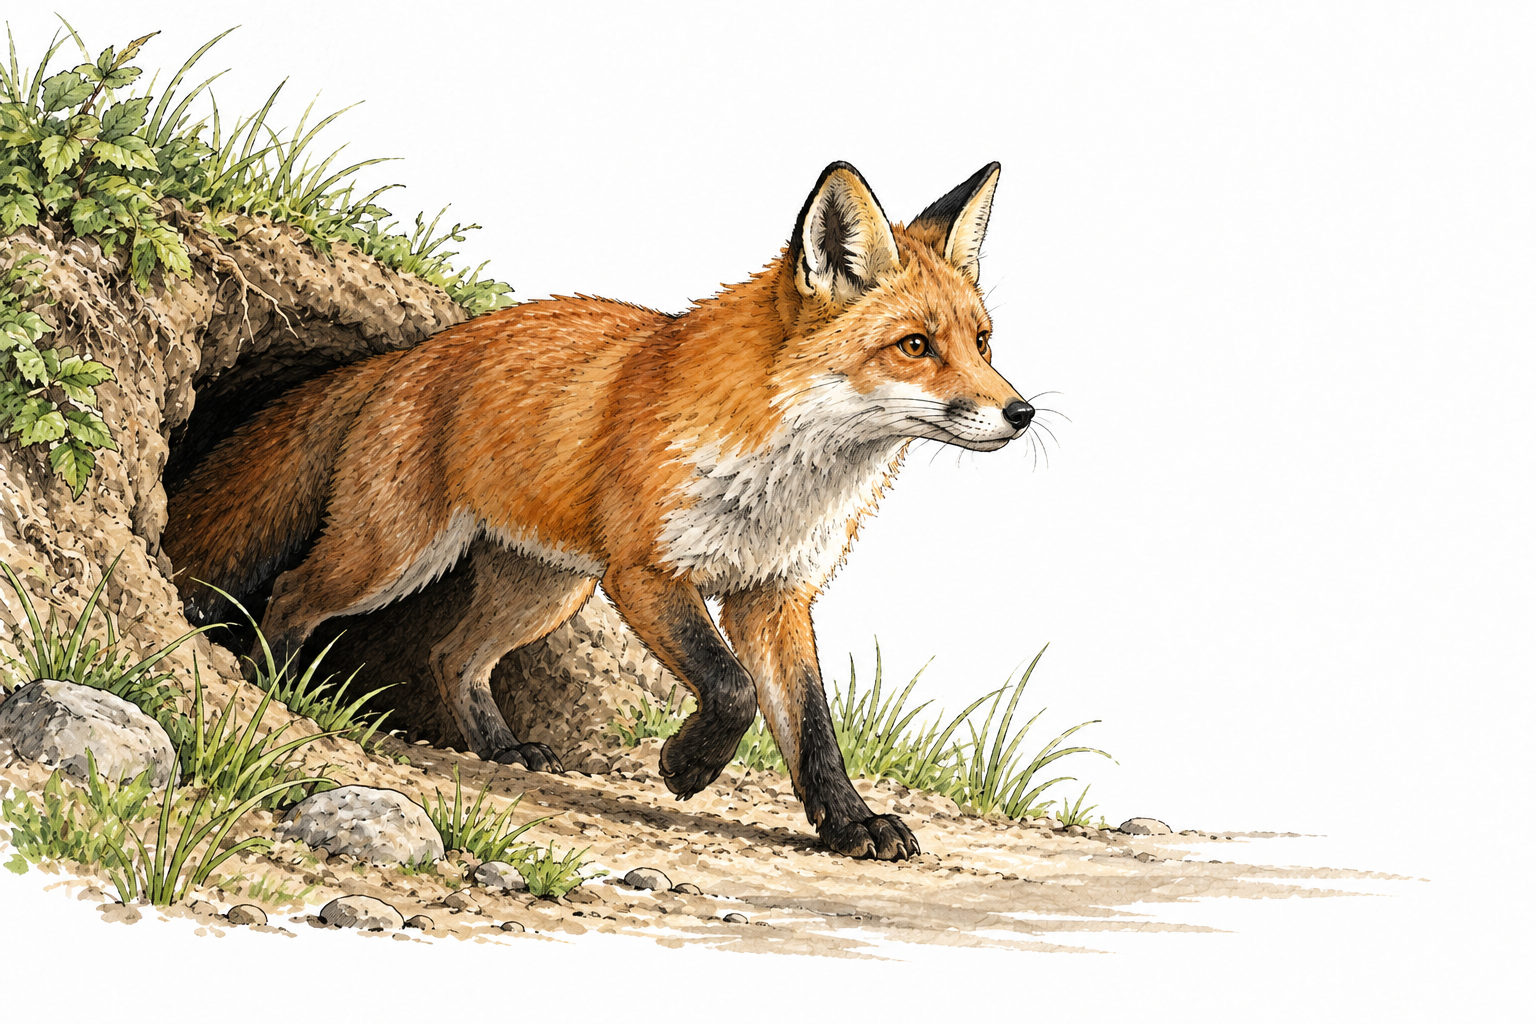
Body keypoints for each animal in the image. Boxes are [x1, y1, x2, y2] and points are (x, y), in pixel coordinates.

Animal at [164, 161, 1035, 860]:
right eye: (916, 346)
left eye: (984, 343)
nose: (1022, 413)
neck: (785, 484)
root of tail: (406, 354)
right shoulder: (645, 571)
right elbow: (732, 689)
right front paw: (689, 767)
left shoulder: (775, 592)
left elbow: (810, 725)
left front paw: (850, 824)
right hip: (393, 556)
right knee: (292, 594)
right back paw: (275, 687)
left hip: (546, 589)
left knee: (453, 656)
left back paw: (501, 750)